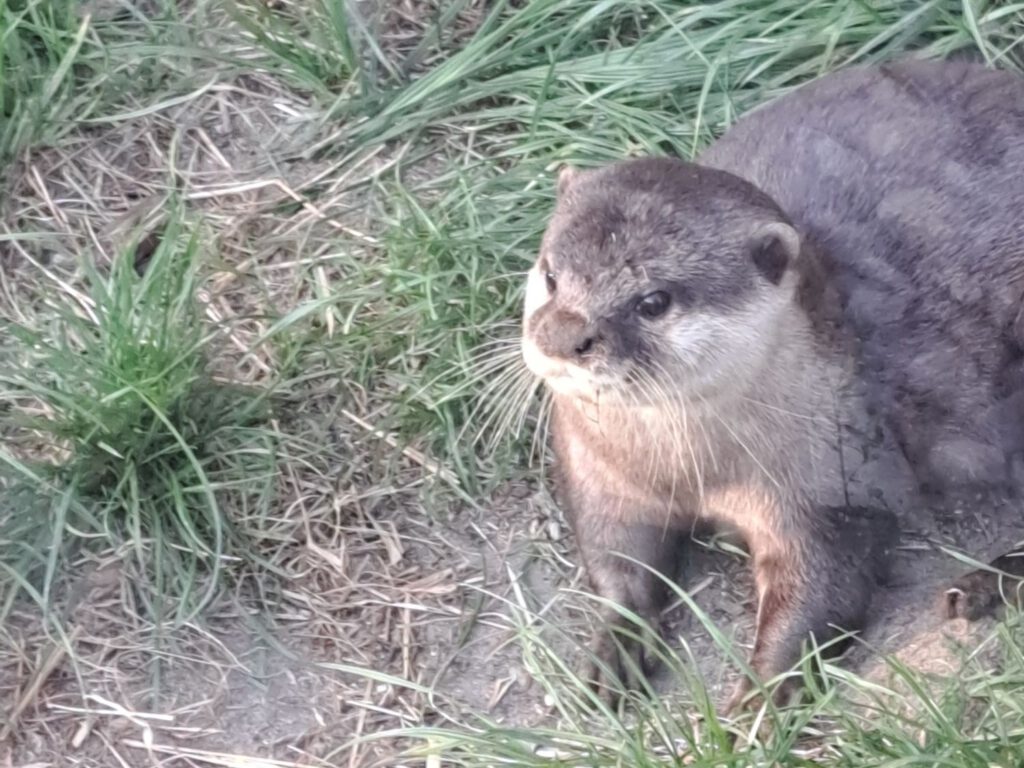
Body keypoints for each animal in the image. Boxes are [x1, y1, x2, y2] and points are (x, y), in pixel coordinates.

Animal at [520, 59, 1024, 707]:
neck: (696, 467)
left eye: (653, 301)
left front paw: (758, 698)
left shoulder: (835, 482)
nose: (561, 337)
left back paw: (982, 585)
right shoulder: (598, 469)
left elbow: (822, 586)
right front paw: (615, 651)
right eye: (552, 274)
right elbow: (617, 556)